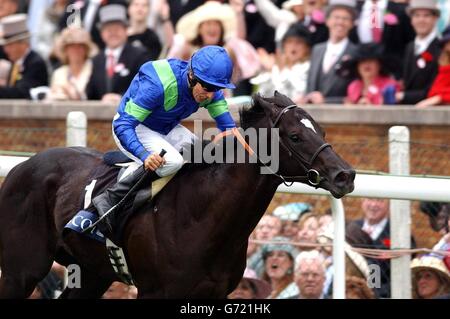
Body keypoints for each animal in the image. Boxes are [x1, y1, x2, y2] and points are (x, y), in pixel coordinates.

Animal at [0, 92, 356, 300]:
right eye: (295, 136)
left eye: (321, 131)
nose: (346, 175)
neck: (201, 216)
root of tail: (21, 166)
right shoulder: (155, 292)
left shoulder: (214, 294)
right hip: (22, 270)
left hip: (91, 272)